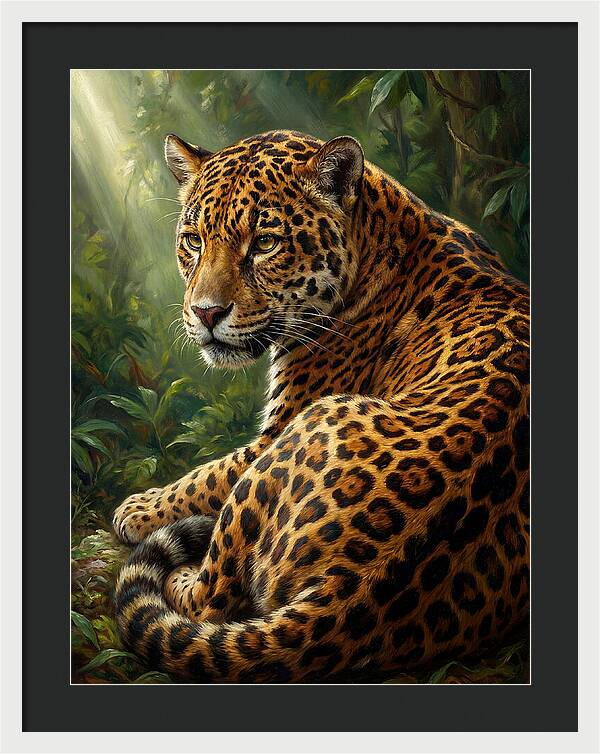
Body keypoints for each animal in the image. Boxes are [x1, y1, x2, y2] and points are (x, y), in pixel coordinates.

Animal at [113, 129, 529, 683]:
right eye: (194, 240)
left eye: (265, 243)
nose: (205, 313)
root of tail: (350, 593)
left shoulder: (279, 427)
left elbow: (208, 475)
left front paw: (139, 508)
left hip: (305, 429)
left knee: (211, 599)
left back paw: (182, 572)